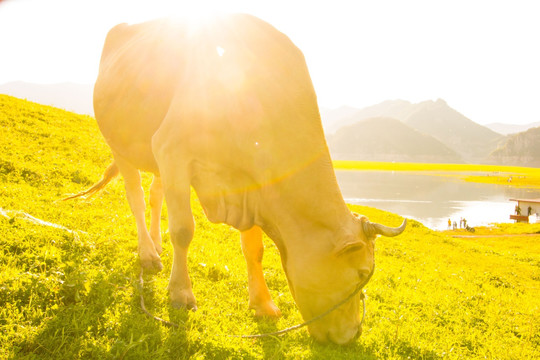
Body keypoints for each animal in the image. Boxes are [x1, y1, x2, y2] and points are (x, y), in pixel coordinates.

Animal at [74, 14, 408, 344]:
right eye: (362, 274)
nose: (354, 334)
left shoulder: (250, 185)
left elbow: (254, 249)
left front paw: (263, 304)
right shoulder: (172, 149)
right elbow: (183, 230)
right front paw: (181, 293)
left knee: (156, 197)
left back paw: (156, 245)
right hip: (119, 144)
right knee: (137, 198)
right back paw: (147, 253)